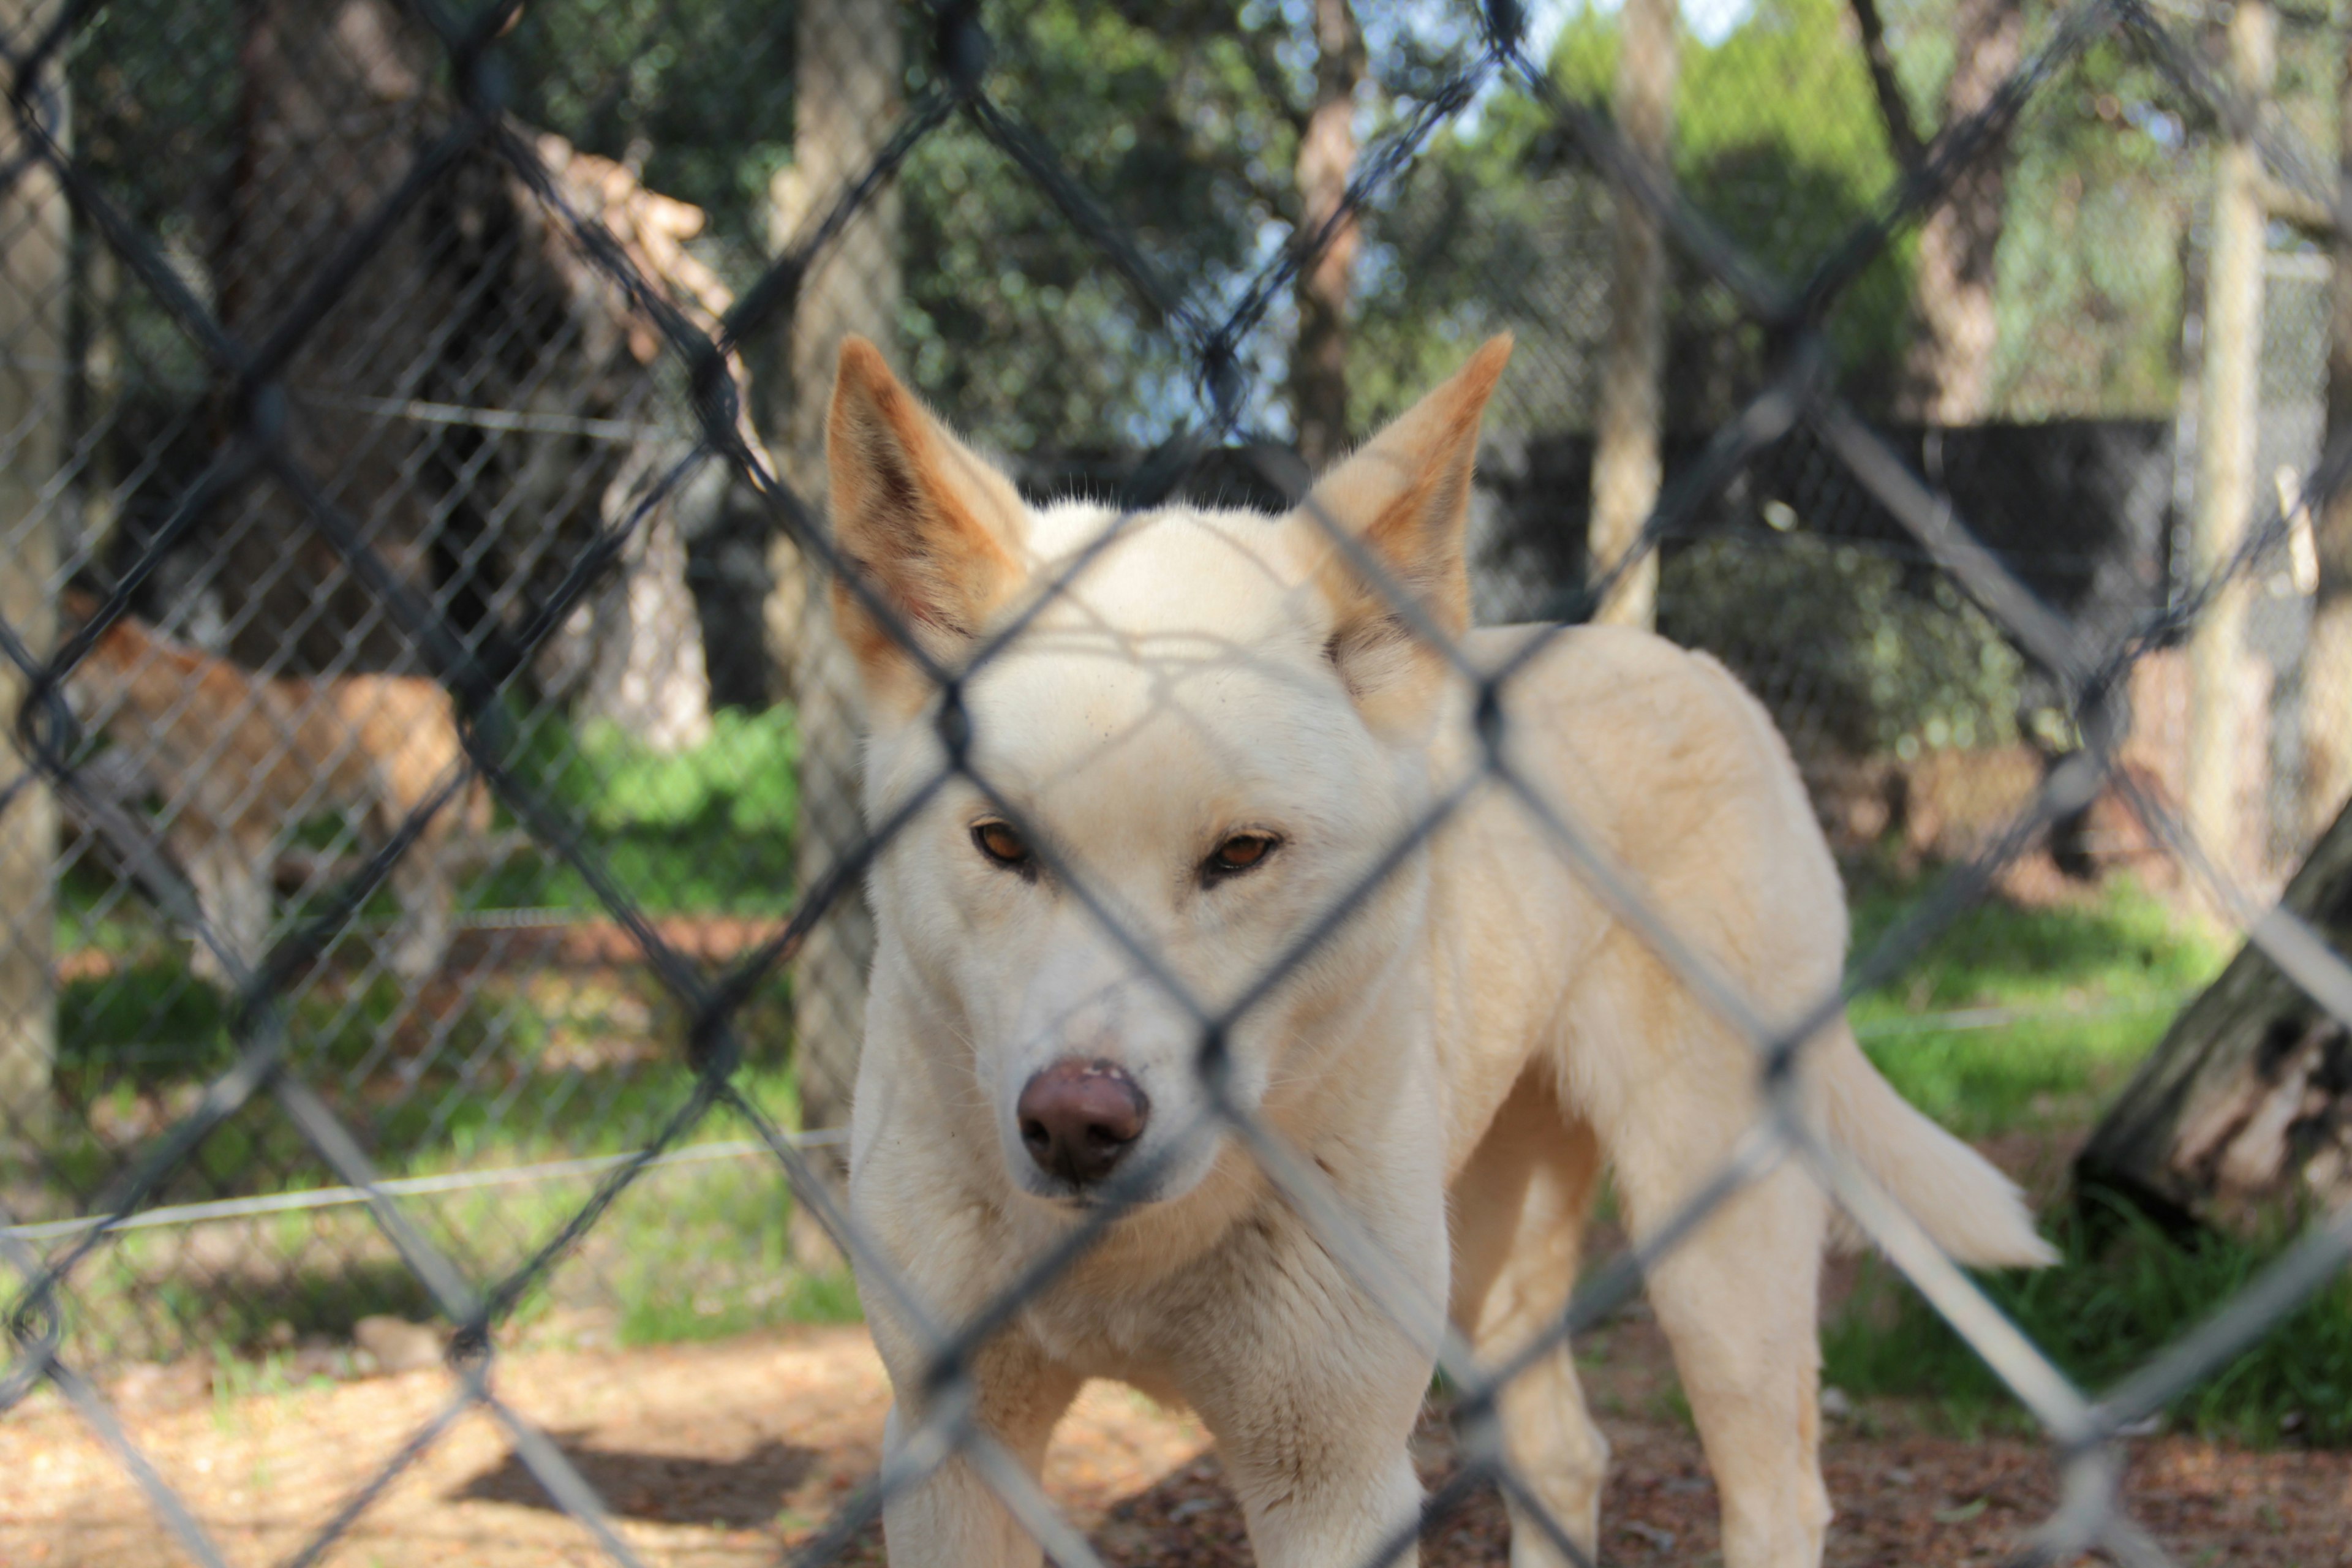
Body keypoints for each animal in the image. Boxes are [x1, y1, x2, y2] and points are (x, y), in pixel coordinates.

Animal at [837, 334, 2051, 1568]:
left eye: (1242, 853)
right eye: (1001, 842)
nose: (1077, 1124)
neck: (1130, 1257)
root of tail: (1703, 670)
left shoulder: (1334, 1485)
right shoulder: (951, 1453)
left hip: (1714, 1253)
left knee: (1778, 1497)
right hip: (1493, 1264)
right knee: (1567, 1455)